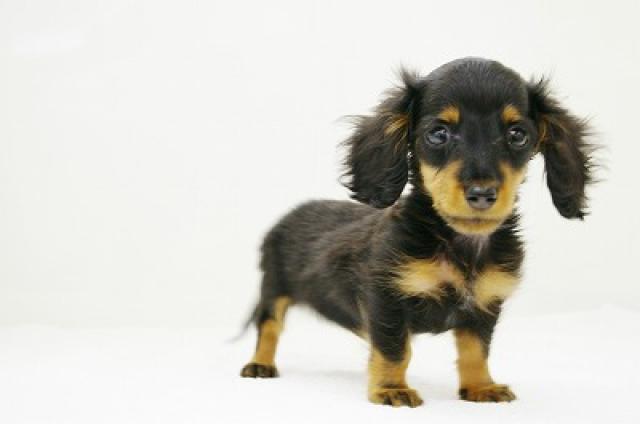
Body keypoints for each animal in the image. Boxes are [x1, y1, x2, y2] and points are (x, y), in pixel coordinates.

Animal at [239, 57, 594, 407]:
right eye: (438, 134)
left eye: (518, 134)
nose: (481, 194)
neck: (458, 244)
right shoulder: (387, 299)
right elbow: (395, 349)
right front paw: (390, 388)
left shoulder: (483, 305)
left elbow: (476, 351)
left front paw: (480, 386)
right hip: (274, 287)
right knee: (269, 326)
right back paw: (260, 363)